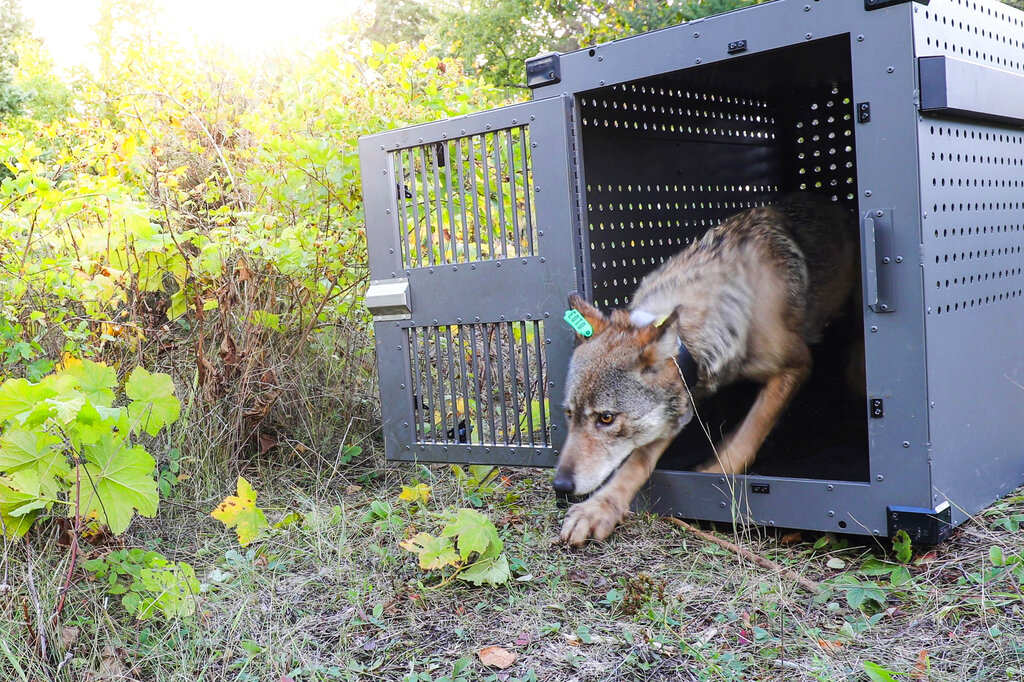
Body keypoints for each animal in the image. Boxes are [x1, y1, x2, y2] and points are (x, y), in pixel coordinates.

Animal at [554, 193, 859, 546]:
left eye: (606, 418)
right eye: (569, 414)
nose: (560, 486)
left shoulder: (796, 364)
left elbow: (751, 430)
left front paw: (715, 474)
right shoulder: (682, 399)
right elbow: (636, 461)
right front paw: (598, 509)